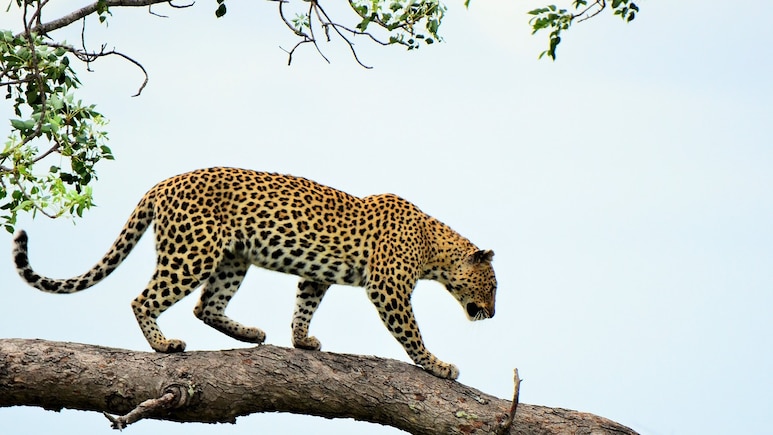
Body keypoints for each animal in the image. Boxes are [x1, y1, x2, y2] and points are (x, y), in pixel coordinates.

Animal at [12, 167, 497, 379]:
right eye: (492, 286)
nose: (492, 314)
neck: (434, 249)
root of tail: (162, 183)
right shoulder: (388, 287)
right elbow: (411, 333)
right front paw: (438, 365)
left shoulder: (317, 275)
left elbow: (304, 304)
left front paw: (302, 341)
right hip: (193, 253)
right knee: (143, 299)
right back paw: (164, 345)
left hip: (232, 259)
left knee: (207, 305)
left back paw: (250, 334)